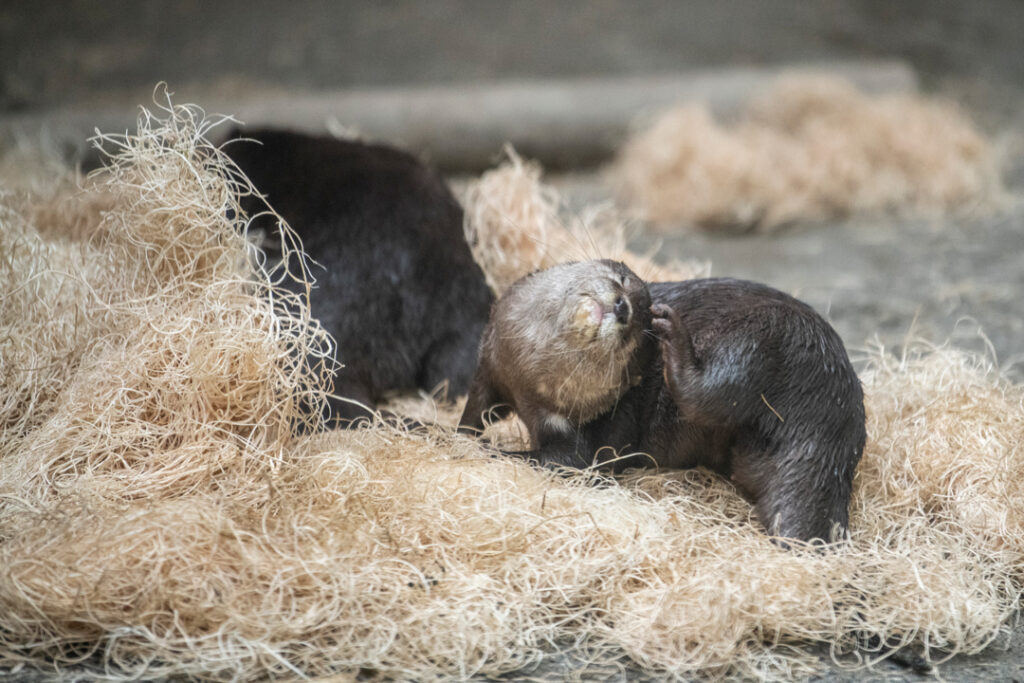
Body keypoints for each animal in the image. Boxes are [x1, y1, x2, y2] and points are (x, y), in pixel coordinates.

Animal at [458, 260, 865, 543]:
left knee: (711, 392)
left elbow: (565, 461)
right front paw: (460, 433)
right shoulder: (491, 363)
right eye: (621, 281)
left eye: (636, 334)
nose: (623, 308)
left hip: (765, 337)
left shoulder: (585, 436)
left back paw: (677, 341)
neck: (526, 375)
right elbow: (474, 410)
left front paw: (490, 450)